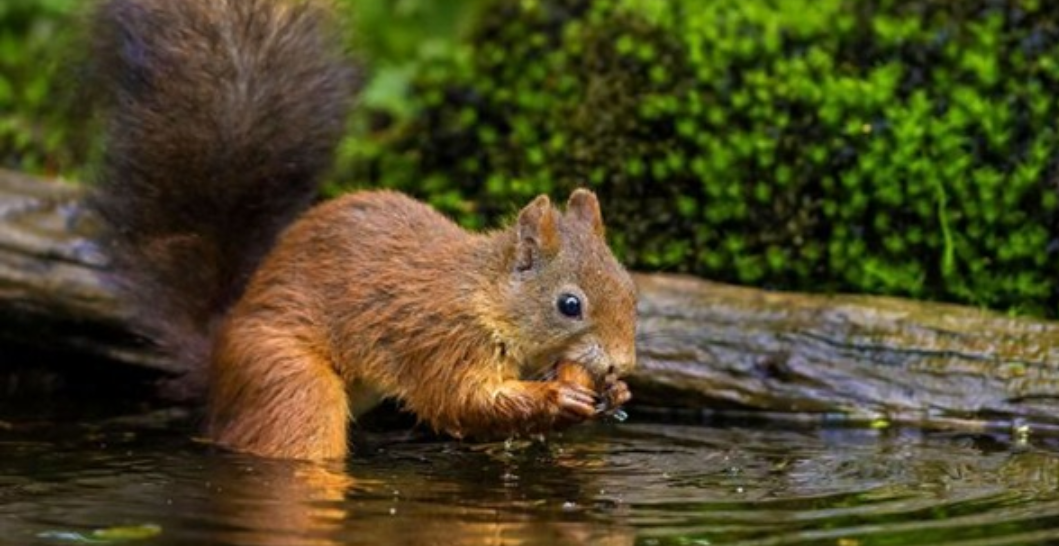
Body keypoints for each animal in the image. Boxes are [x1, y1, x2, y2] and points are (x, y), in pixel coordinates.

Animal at [88, 0, 635, 461]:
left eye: (631, 290)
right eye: (569, 305)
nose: (622, 364)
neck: (485, 295)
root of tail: (218, 354)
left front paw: (615, 392)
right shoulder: (441, 341)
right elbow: (462, 402)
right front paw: (558, 396)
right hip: (287, 380)